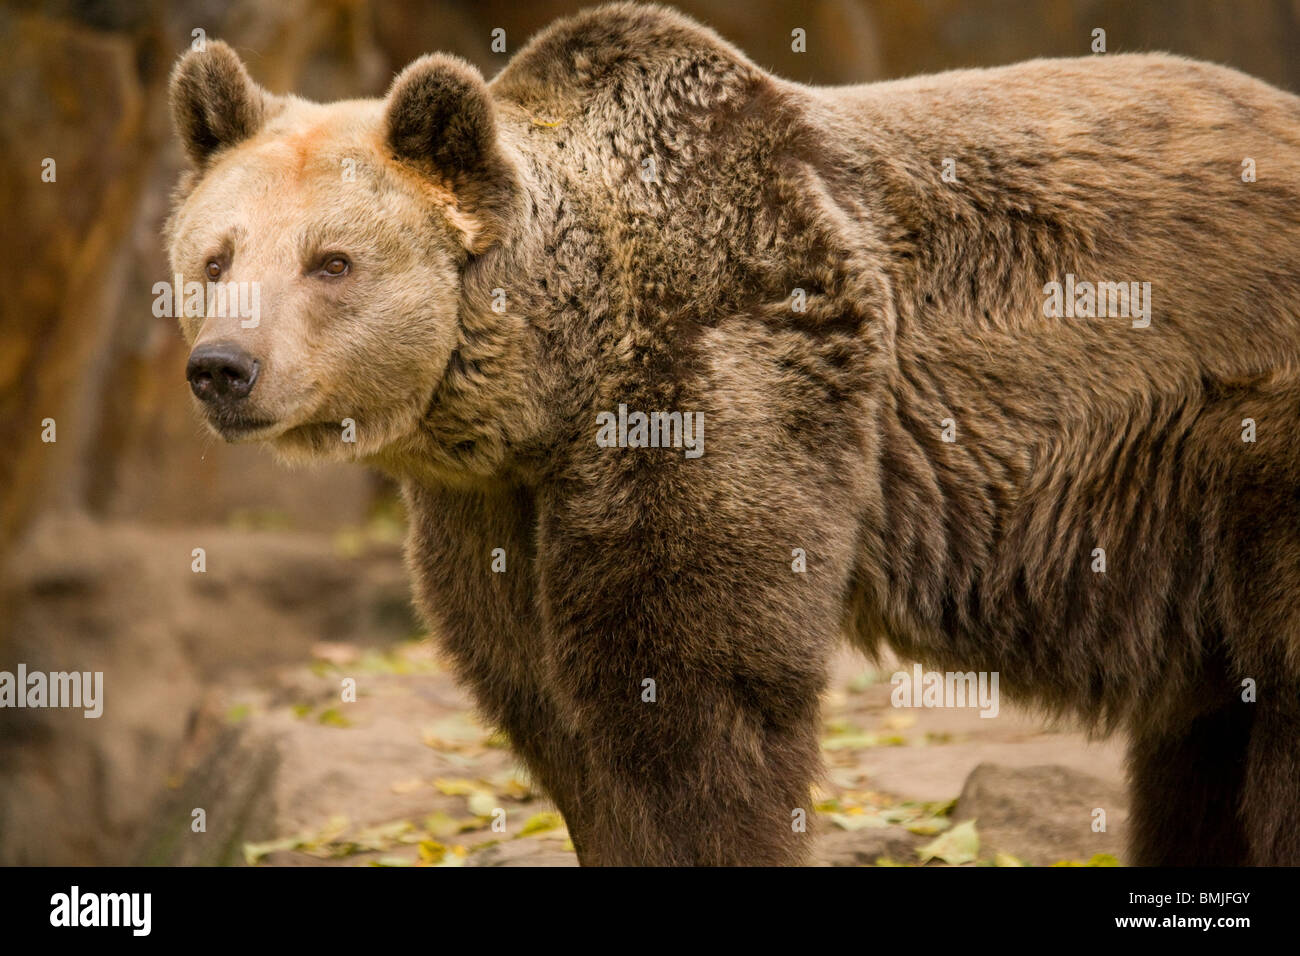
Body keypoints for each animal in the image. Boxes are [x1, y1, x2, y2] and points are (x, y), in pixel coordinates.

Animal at [166, 2, 1300, 865]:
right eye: (217, 256)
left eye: (331, 261)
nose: (224, 366)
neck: (553, 373)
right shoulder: (495, 502)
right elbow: (545, 702)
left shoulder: (728, 361)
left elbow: (697, 692)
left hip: (1250, 432)